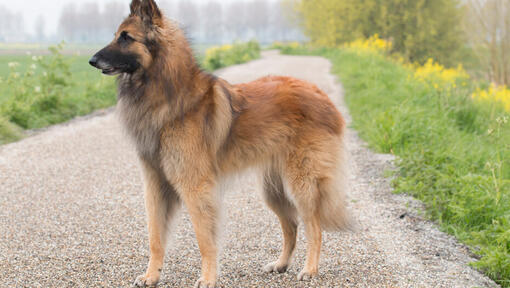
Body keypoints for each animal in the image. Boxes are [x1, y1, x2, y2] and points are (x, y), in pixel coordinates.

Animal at [89, 0, 348, 286]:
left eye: (126, 37)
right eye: (116, 35)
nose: (91, 61)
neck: (167, 94)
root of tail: (322, 95)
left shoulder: (195, 187)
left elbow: (204, 239)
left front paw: (208, 278)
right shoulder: (155, 183)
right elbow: (155, 237)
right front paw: (151, 276)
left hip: (300, 183)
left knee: (314, 227)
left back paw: (310, 269)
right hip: (273, 190)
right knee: (291, 226)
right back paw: (281, 264)